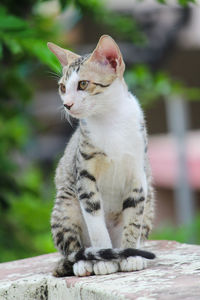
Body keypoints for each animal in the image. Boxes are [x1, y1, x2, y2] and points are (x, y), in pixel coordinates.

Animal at [47, 34, 155, 276]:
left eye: (83, 84)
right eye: (62, 87)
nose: (66, 104)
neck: (110, 120)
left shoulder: (138, 175)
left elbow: (134, 220)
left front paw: (131, 256)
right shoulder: (85, 177)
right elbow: (95, 223)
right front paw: (103, 263)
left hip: (151, 198)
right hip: (65, 203)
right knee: (72, 248)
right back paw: (85, 262)